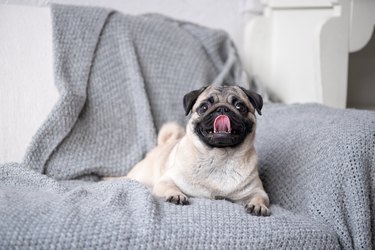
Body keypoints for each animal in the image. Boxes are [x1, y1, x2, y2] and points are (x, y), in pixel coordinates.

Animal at [119, 85, 268, 216]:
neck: (219, 157)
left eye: (240, 107)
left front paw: (258, 205)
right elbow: (170, 186)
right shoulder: (165, 181)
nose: (222, 109)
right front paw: (176, 195)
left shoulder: (257, 191)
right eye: (204, 107)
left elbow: (260, 197)